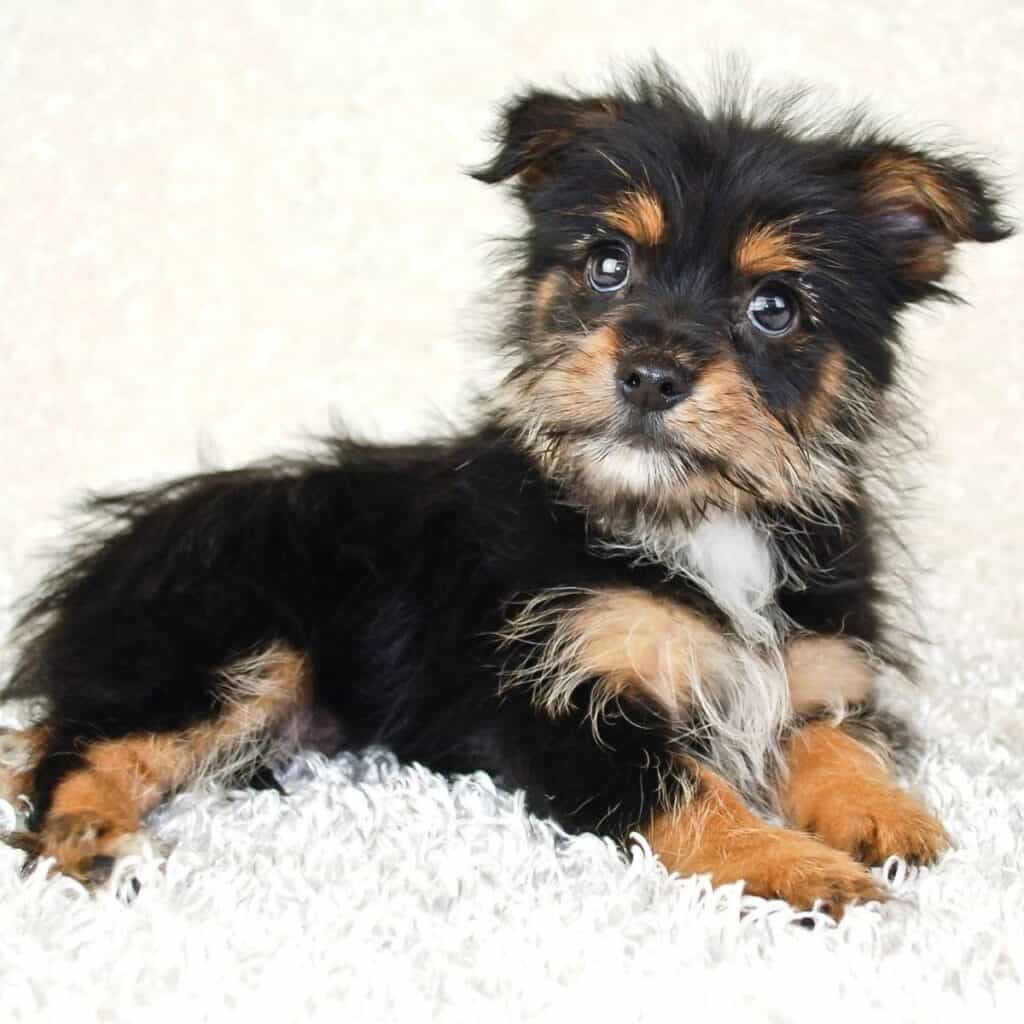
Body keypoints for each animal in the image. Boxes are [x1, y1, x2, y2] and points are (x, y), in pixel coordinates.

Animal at [0, 66, 1007, 913]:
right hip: (222, 641)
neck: (692, 519)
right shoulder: (558, 706)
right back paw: (98, 839)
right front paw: (801, 869)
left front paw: (884, 815)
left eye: (775, 307)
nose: (650, 373)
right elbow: (692, 790)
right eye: (609, 263)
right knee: (80, 746)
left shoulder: (814, 667)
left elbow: (835, 739)